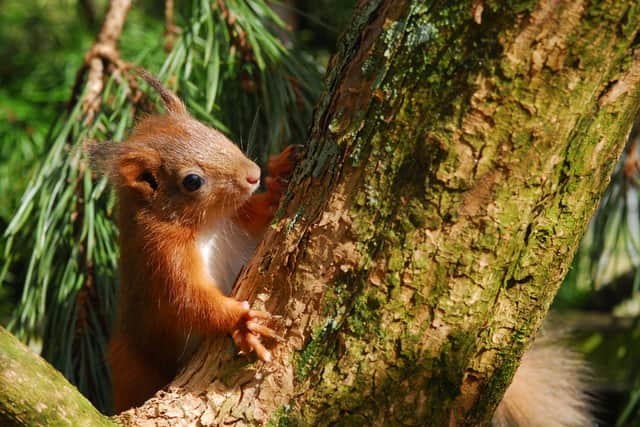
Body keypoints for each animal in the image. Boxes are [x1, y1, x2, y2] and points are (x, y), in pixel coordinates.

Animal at [89, 72, 296, 412]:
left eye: (214, 132)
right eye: (192, 181)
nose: (253, 175)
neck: (208, 225)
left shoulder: (236, 220)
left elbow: (260, 213)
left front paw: (279, 177)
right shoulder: (160, 256)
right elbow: (188, 300)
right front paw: (242, 322)